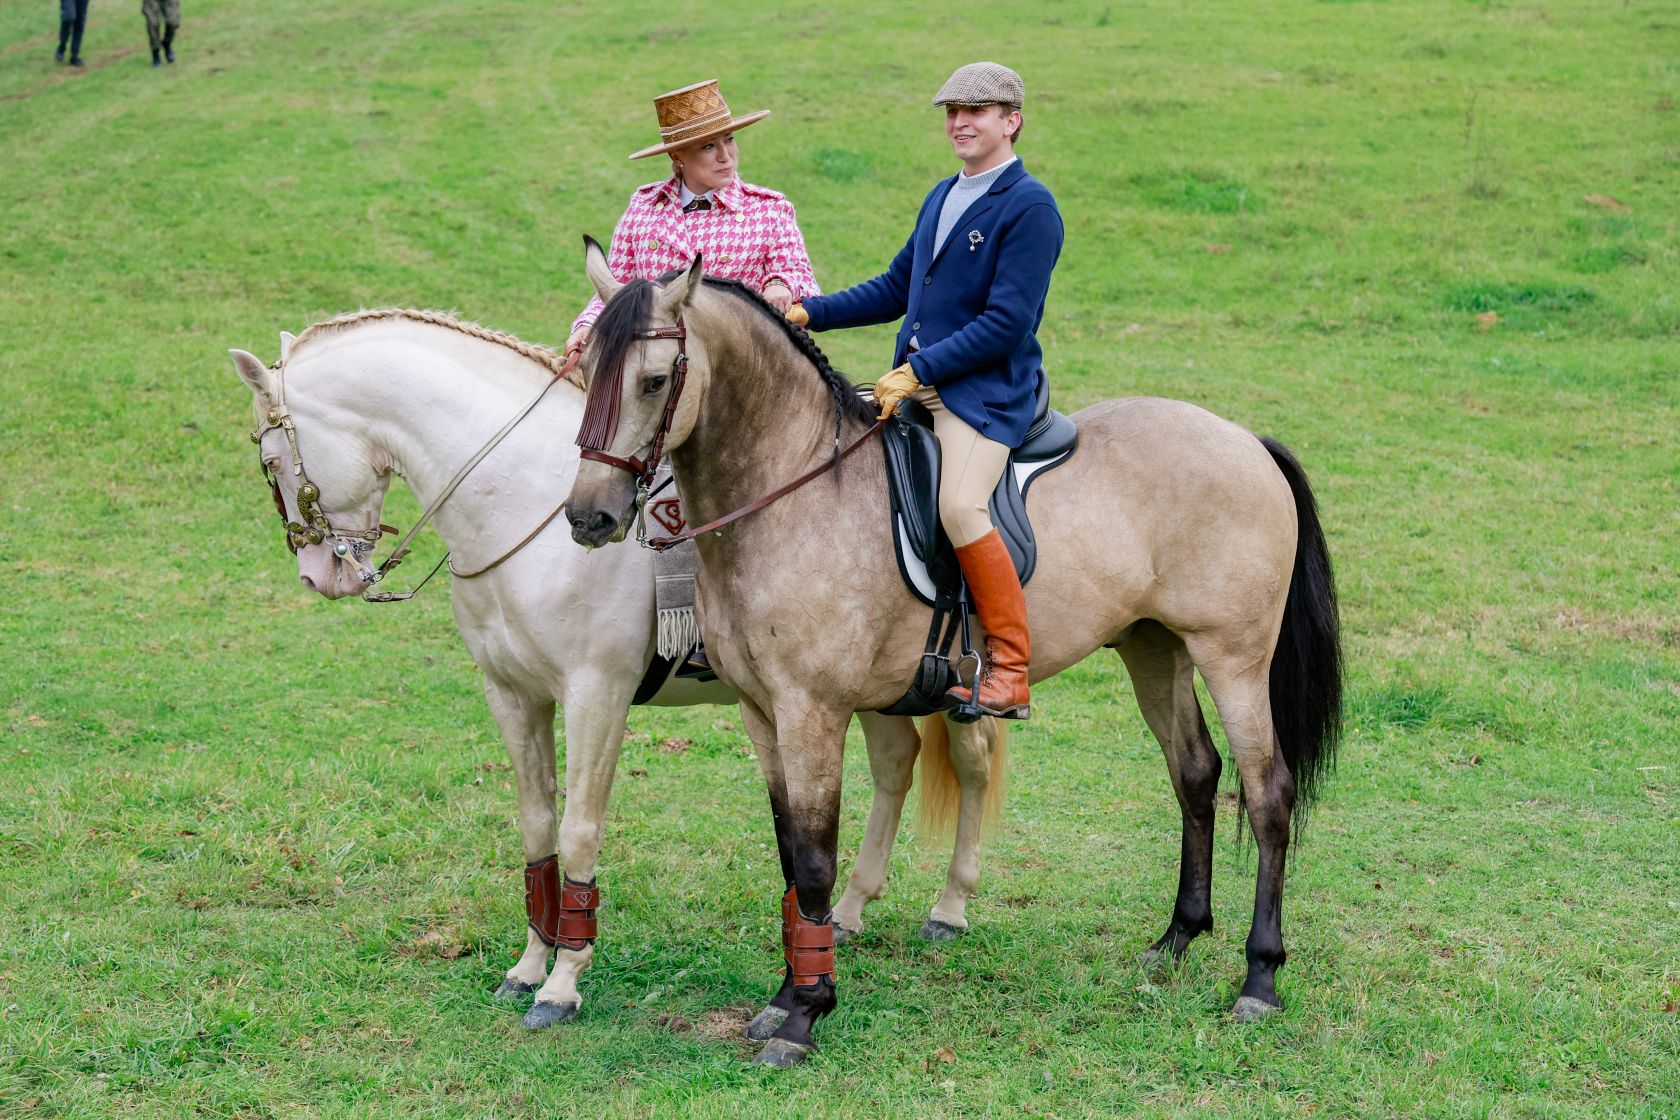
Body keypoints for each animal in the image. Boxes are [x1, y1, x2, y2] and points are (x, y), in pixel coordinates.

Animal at [230, 310, 1001, 1041]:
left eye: (270, 460)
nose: (319, 574)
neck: (528, 504)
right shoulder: (512, 695)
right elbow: (536, 826)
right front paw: (527, 967)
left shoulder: (596, 694)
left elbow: (578, 829)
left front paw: (562, 986)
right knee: (897, 764)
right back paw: (849, 910)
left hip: (941, 686)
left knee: (972, 763)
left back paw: (949, 907)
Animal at [571, 246, 1344, 1067]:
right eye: (585, 367)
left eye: (656, 381)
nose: (589, 516)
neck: (794, 492)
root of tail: (1243, 438)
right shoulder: (761, 711)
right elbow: (789, 856)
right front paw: (784, 999)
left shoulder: (813, 711)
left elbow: (813, 860)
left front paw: (805, 1016)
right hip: (1154, 648)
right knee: (1195, 773)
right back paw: (1175, 941)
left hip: (1233, 656)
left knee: (1267, 793)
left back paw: (1258, 980)